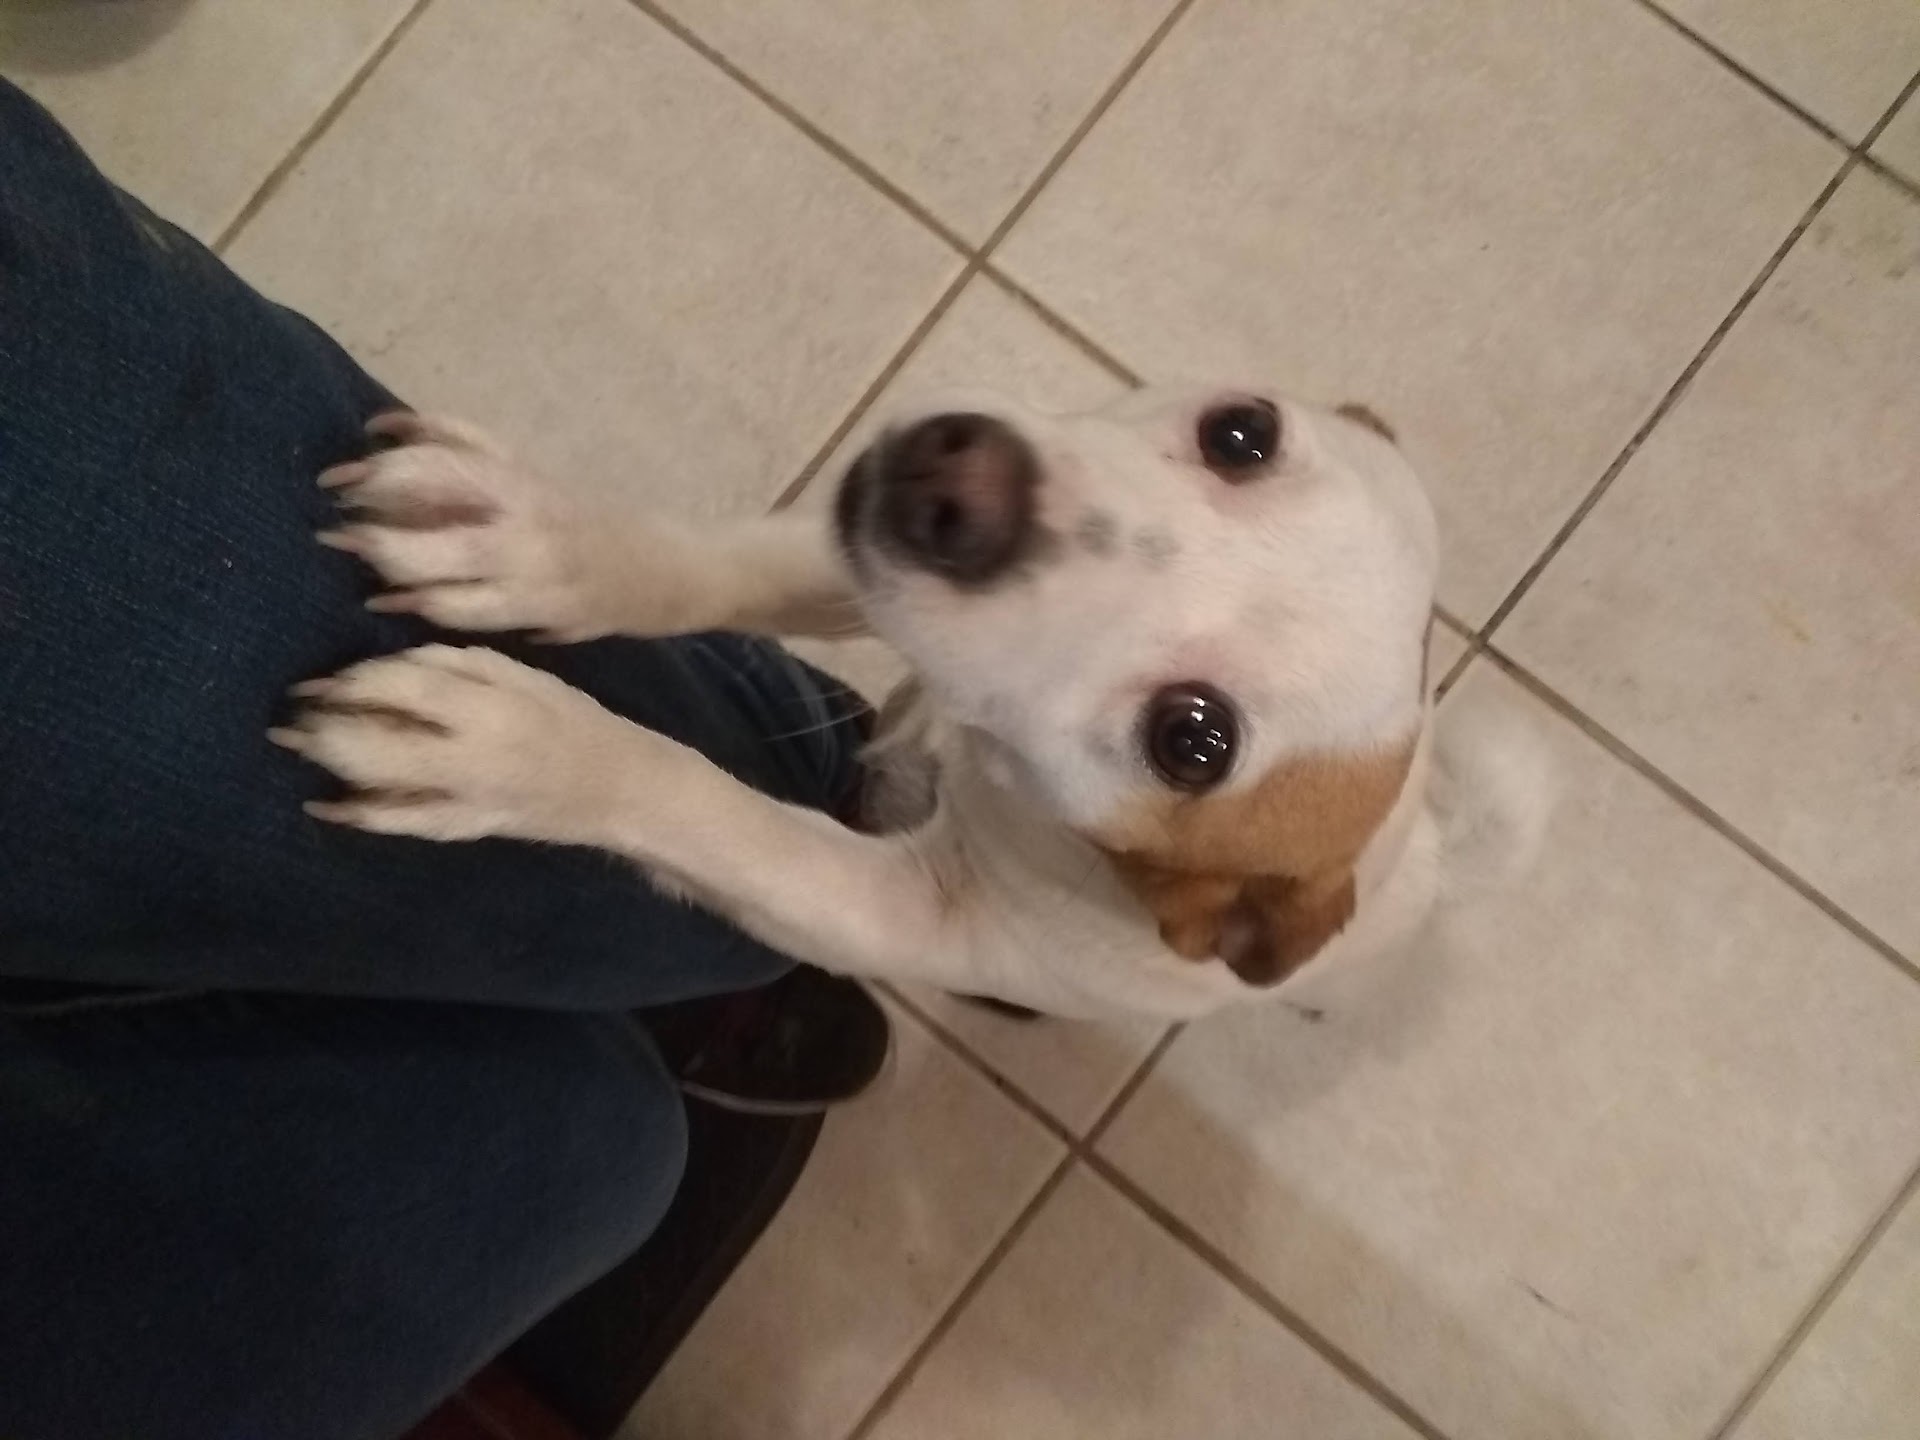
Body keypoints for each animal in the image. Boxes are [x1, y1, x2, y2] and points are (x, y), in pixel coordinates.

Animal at [274, 387, 1544, 1019]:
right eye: (1242, 433)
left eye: (1195, 741)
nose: (963, 482)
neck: (992, 774)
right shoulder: (867, 572)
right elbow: (704, 566)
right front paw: (536, 536)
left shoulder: (895, 913)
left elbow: (703, 806)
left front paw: (516, 750)